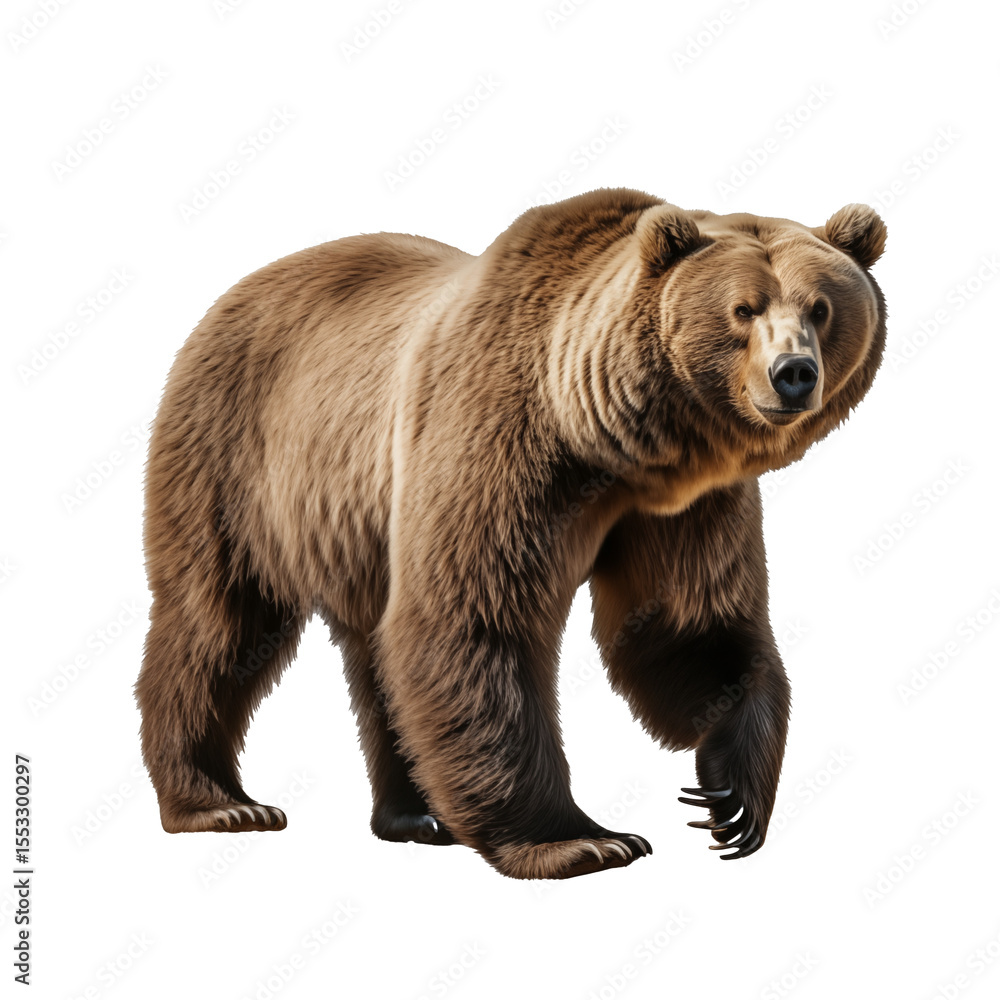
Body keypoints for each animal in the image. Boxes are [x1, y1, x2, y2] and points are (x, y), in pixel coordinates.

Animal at [135, 187, 886, 880]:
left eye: (820, 307)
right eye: (743, 309)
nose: (793, 374)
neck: (610, 440)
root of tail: (230, 294)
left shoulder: (685, 505)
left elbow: (688, 625)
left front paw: (730, 798)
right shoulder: (500, 439)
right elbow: (476, 619)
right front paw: (583, 840)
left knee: (374, 650)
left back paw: (417, 814)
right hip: (239, 459)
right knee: (222, 620)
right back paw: (220, 802)